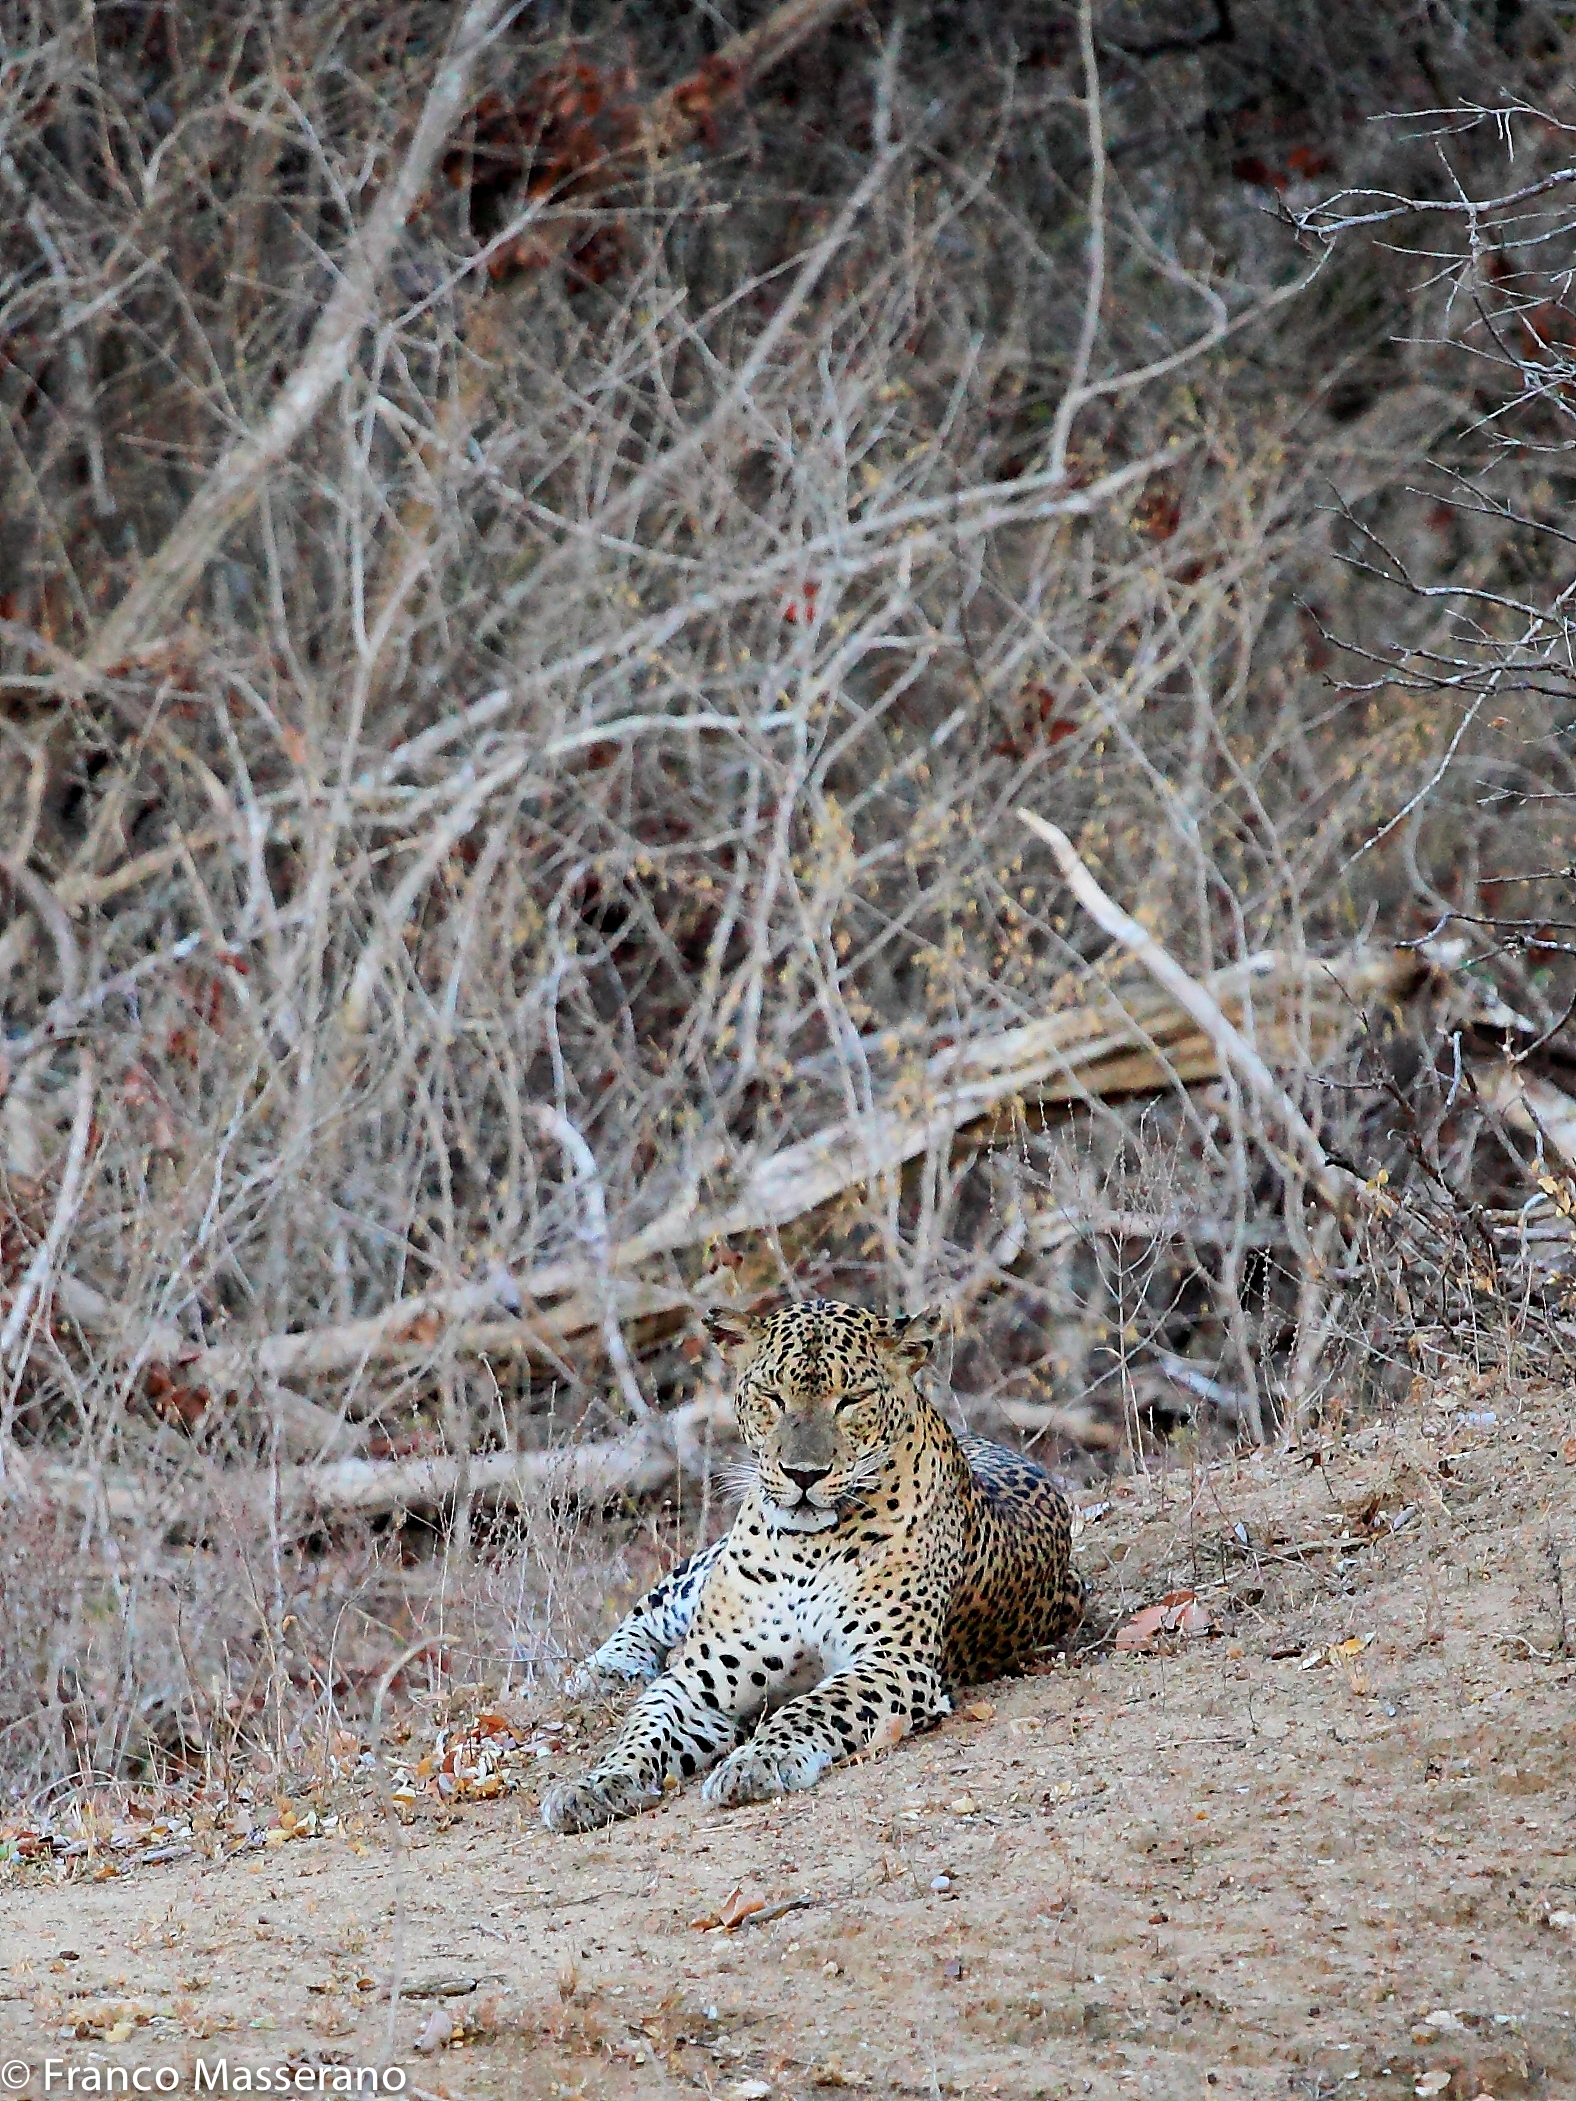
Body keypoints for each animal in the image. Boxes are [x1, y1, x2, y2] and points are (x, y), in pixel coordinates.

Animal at [540, 1297, 1085, 1834]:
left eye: (851, 1400)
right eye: (772, 1396)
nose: (804, 1475)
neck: (804, 1551)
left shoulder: (892, 1661)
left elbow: (816, 1706)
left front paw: (755, 1762)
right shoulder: (701, 1676)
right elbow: (646, 1725)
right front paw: (593, 1785)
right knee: (656, 1604)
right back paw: (604, 1670)